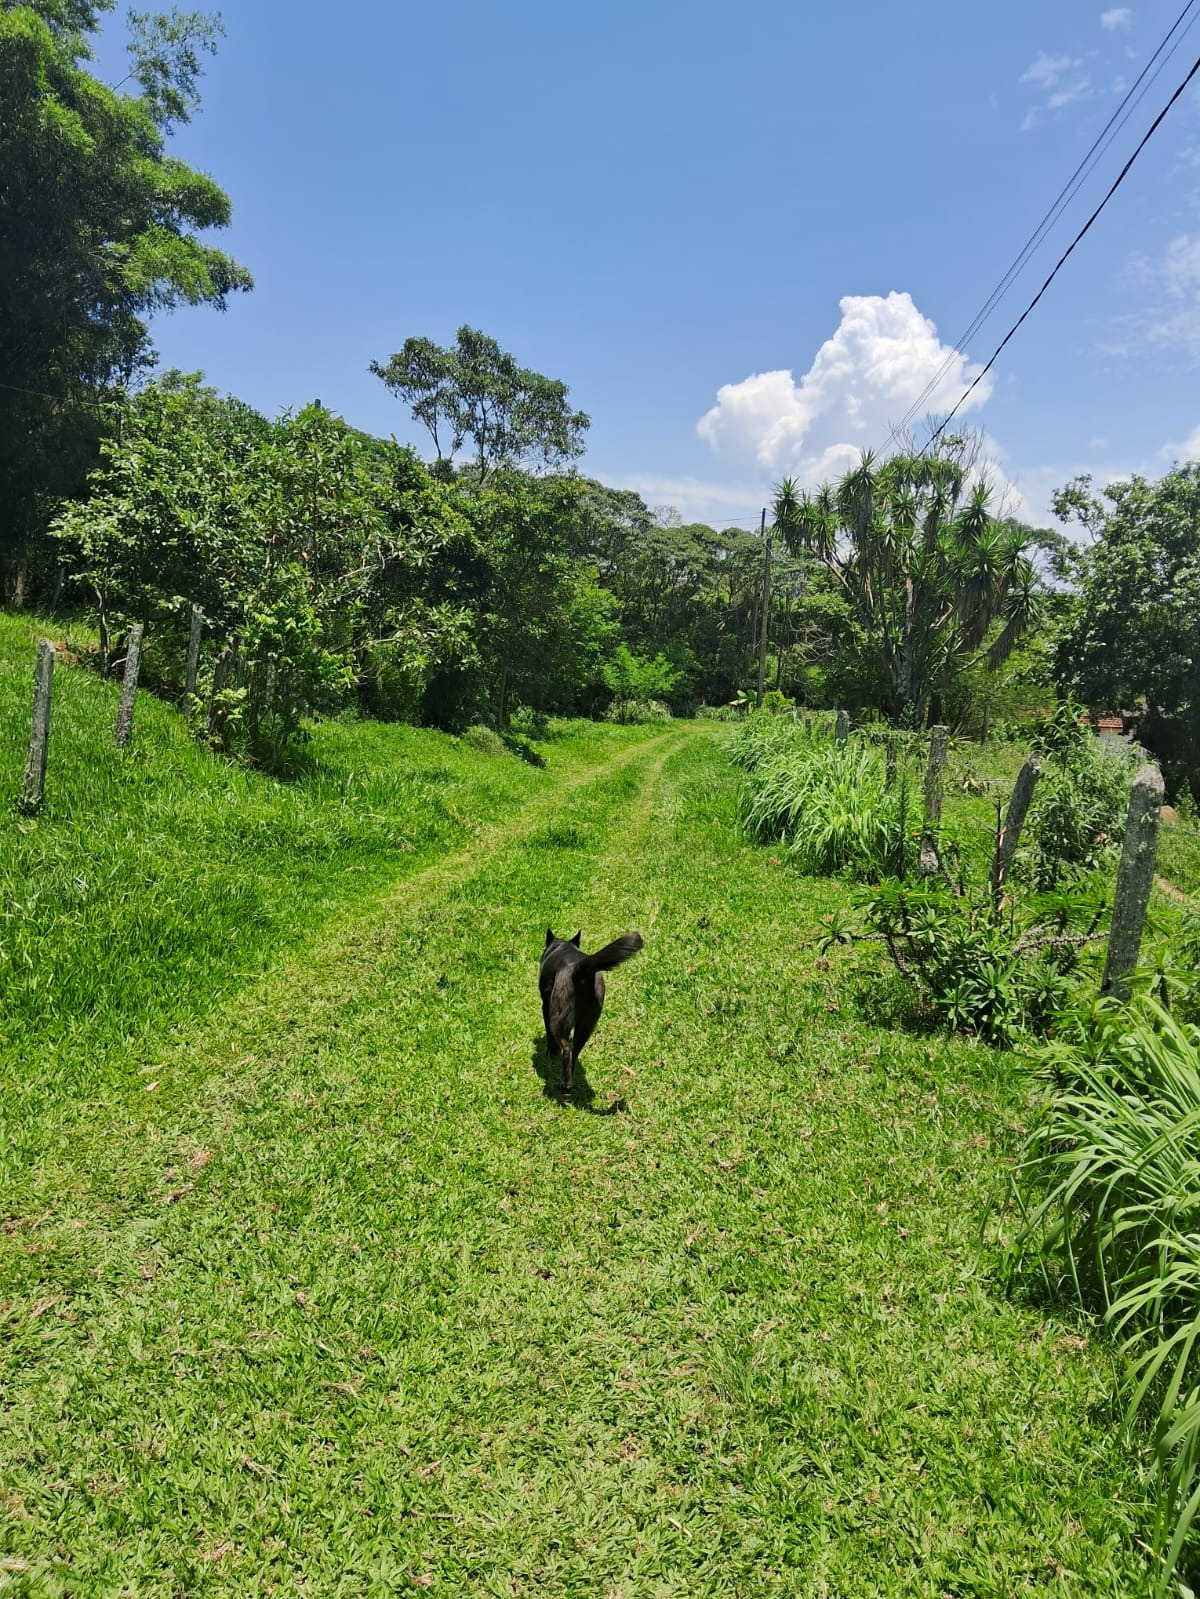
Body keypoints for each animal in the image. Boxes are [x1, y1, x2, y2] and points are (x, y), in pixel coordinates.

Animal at [540, 933, 643, 1093]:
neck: (562, 947)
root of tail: (580, 969)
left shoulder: (545, 1006)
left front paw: (550, 1053)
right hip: (587, 1023)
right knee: (575, 1052)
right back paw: (568, 1082)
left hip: (558, 1017)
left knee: (567, 1050)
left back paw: (564, 1084)